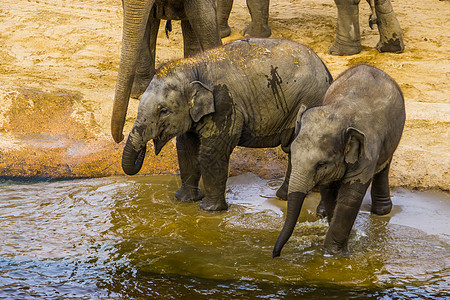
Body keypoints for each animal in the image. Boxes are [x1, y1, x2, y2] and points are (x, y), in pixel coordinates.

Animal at [121, 38, 332, 211]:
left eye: (163, 111)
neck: (194, 66)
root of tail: (327, 70)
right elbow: (186, 148)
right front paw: (184, 200)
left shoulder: (225, 103)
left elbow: (211, 152)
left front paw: (209, 210)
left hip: (309, 99)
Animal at [272, 64, 406, 256]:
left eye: (321, 164)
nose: (275, 254)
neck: (340, 111)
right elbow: (329, 191)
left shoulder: (367, 151)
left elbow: (350, 196)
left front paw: (333, 253)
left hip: (395, 134)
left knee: (384, 166)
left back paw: (381, 212)